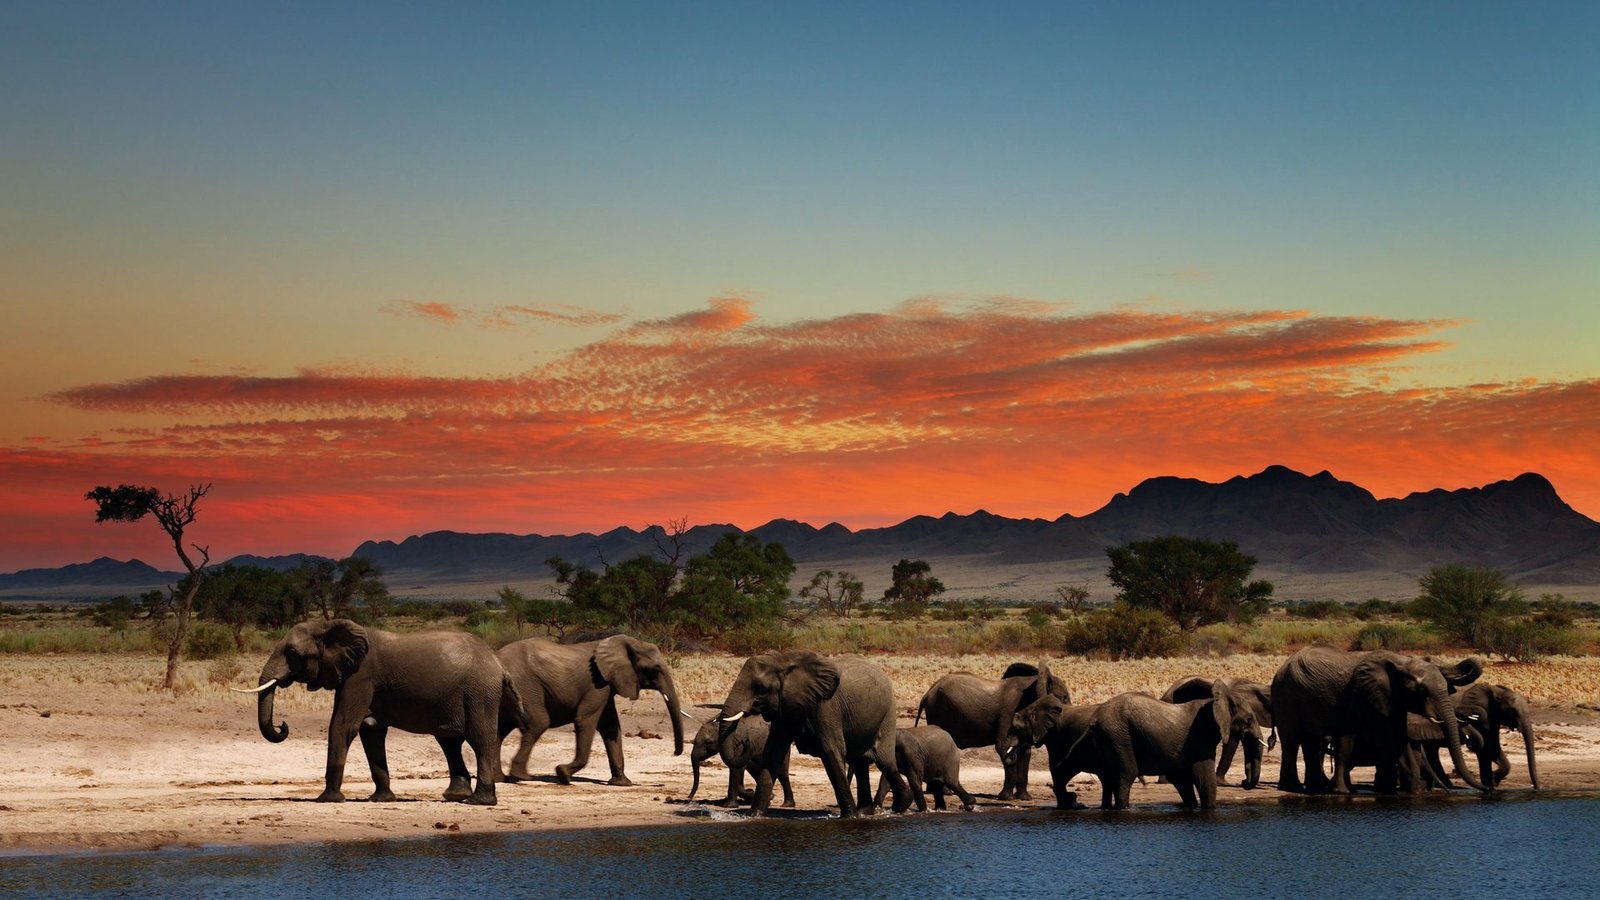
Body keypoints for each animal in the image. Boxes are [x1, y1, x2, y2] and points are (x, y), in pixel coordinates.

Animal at [240, 618, 526, 805]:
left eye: (291, 652)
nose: (283, 725)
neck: (328, 625)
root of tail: (499, 665)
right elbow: (371, 732)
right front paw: (381, 799)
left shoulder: (360, 677)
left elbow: (343, 726)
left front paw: (327, 800)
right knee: (449, 742)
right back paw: (455, 796)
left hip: (479, 691)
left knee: (479, 739)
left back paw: (479, 802)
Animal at [497, 634, 685, 786]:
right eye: (654, 669)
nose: (675, 753)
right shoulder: (596, 684)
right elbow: (585, 720)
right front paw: (562, 774)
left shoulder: (606, 684)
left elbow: (610, 726)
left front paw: (622, 783)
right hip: (524, 686)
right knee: (538, 723)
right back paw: (521, 776)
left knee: (499, 729)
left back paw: (500, 778)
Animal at [717, 650, 909, 818]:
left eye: (759, 687)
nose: (745, 742)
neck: (783, 661)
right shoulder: (784, 707)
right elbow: (773, 753)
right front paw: (754, 815)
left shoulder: (826, 707)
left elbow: (831, 752)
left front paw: (849, 817)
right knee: (860, 763)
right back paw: (866, 811)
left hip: (888, 713)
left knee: (884, 762)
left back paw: (899, 806)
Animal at [914, 662, 1070, 800]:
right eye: (1064, 698)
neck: (1035, 681)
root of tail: (927, 694)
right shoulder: (1008, 711)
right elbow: (1003, 747)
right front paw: (1007, 798)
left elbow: (1025, 752)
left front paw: (1025, 799)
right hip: (938, 712)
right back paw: (946, 792)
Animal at [1271, 646, 1485, 795]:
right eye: (1421, 690)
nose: (1488, 789)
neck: (1401, 661)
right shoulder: (1367, 695)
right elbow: (1383, 736)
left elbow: (1398, 736)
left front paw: (1405, 791)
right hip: (1286, 696)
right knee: (1292, 740)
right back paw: (1293, 788)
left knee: (1310, 741)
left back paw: (1314, 789)